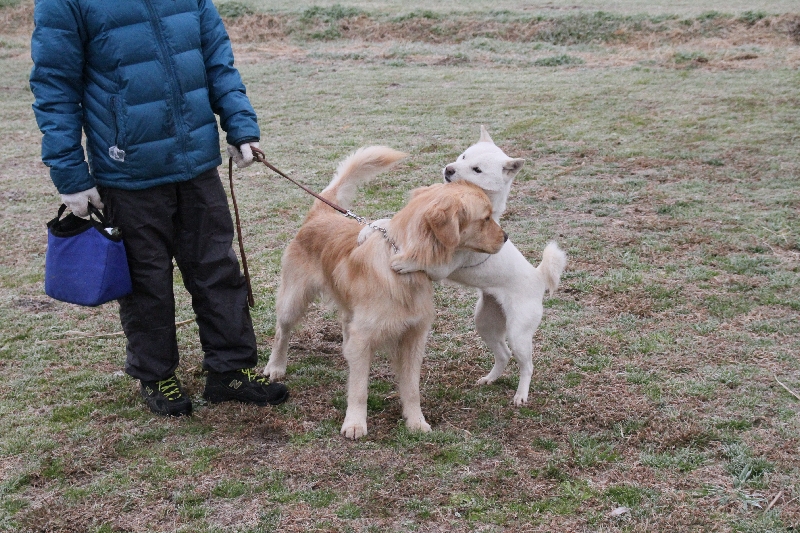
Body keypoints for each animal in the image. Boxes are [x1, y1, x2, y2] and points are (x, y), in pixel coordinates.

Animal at [265, 146, 507, 439]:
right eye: (485, 218)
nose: (506, 237)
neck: (401, 265)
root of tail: (321, 215)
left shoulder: (414, 337)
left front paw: (416, 421)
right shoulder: (365, 337)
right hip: (293, 301)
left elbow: (412, 389)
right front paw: (355, 423)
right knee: (282, 333)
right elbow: (359, 389)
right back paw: (275, 366)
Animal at [359, 128, 567, 406]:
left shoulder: (443, 267)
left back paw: (521, 395)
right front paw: (366, 229)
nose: (449, 169)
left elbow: (420, 260)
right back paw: (490, 379)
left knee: (527, 365)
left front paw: (403, 262)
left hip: (518, 333)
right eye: (463, 156)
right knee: (503, 354)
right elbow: (385, 222)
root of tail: (538, 276)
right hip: (486, 322)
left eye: (477, 169)